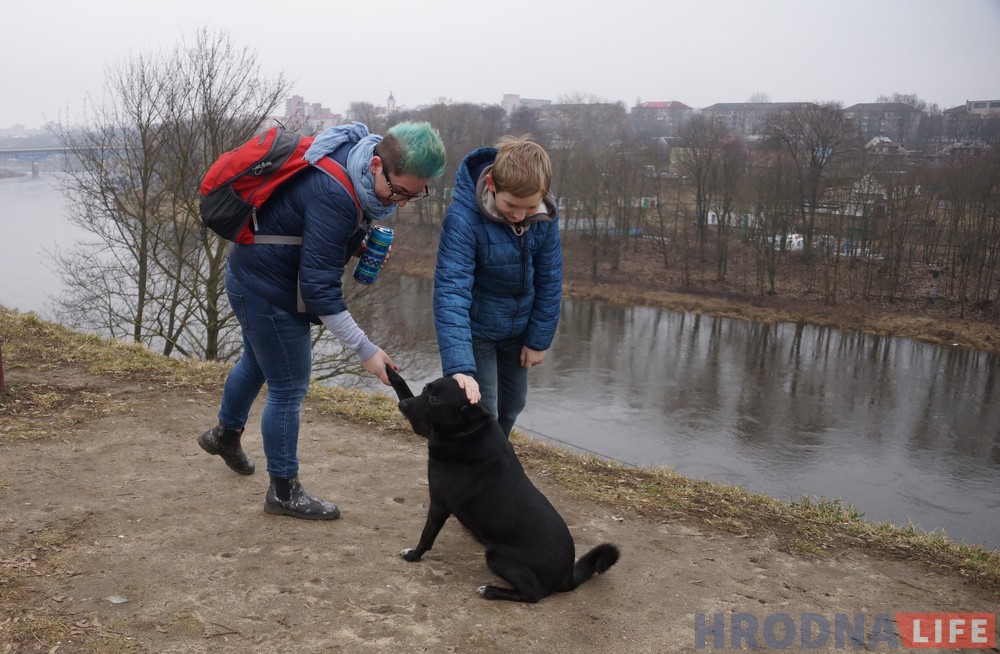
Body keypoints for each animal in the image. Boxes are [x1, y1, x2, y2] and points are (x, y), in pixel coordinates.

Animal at [386, 364, 620, 604]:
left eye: (434, 400)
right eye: (425, 389)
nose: (402, 406)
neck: (468, 430)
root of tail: (567, 576)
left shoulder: (439, 504)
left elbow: (426, 536)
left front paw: (413, 556)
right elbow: (401, 384)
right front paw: (387, 368)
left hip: (497, 555)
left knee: (534, 594)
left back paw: (490, 590)